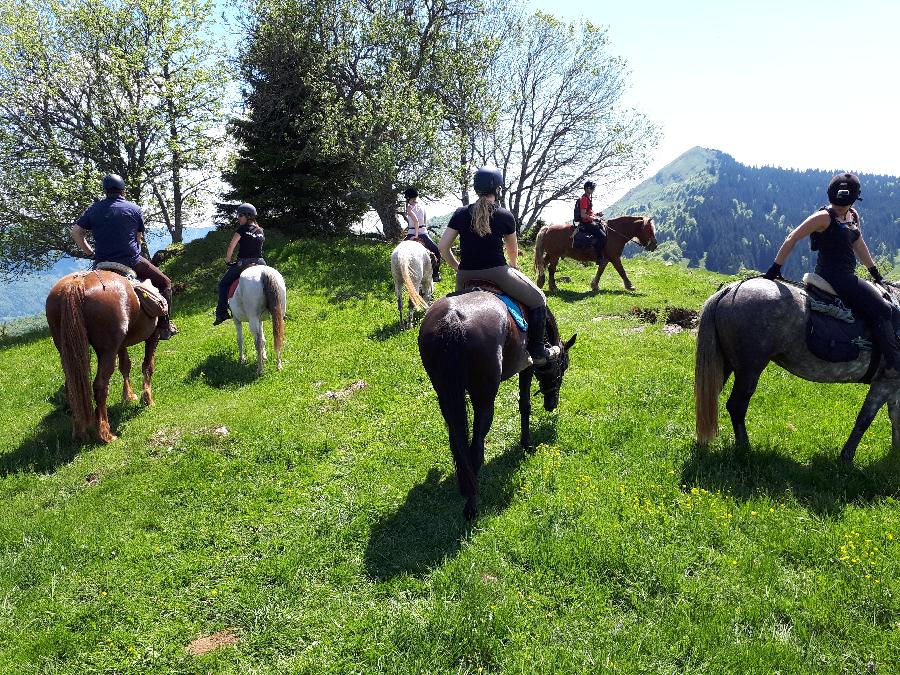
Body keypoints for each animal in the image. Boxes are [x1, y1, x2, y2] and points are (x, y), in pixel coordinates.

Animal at [45, 266, 167, 446]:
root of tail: (76, 283)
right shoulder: (153, 336)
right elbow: (148, 365)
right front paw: (147, 400)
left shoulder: (121, 344)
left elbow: (125, 366)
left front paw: (129, 396)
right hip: (107, 351)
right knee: (100, 386)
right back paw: (105, 434)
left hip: (66, 350)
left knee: (71, 387)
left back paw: (80, 433)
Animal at [416, 294, 572, 520]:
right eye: (563, 366)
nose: (552, 404)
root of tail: (452, 318)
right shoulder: (527, 366)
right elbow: (524, 405)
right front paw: (527, 445)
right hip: (484, 399)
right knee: (476, 448)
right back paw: (472, 504)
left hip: (446, 396)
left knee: (457, 441)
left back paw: (464, 484)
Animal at [696, 278, 900, 462]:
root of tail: (732, 289)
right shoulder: (884, 383)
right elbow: (865, 419)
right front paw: (846, 457)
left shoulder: (894, 387)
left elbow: (895, 418)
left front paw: (895, 454)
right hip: (749, 369)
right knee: (736, 406)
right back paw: (745, 449)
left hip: (726, 365)